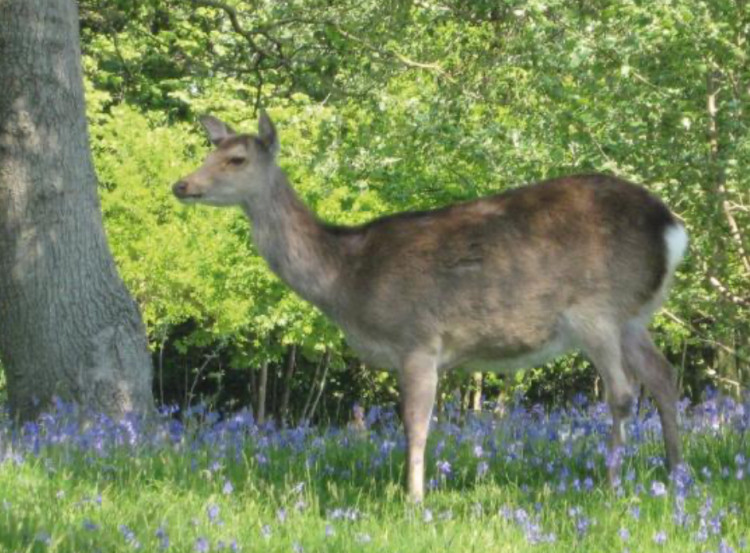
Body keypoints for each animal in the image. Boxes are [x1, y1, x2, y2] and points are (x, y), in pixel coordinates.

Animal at [173, 111, 692, 500]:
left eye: (236, 158)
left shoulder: (418, 339)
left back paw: (612, 485)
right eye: (208, 150)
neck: (346, 279)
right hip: (632, 317)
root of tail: (672, 228)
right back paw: (675, 474)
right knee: (664, 375)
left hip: (597, 309)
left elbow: (415, 424)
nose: (181, 185)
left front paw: (414, 500)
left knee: (622, 393)